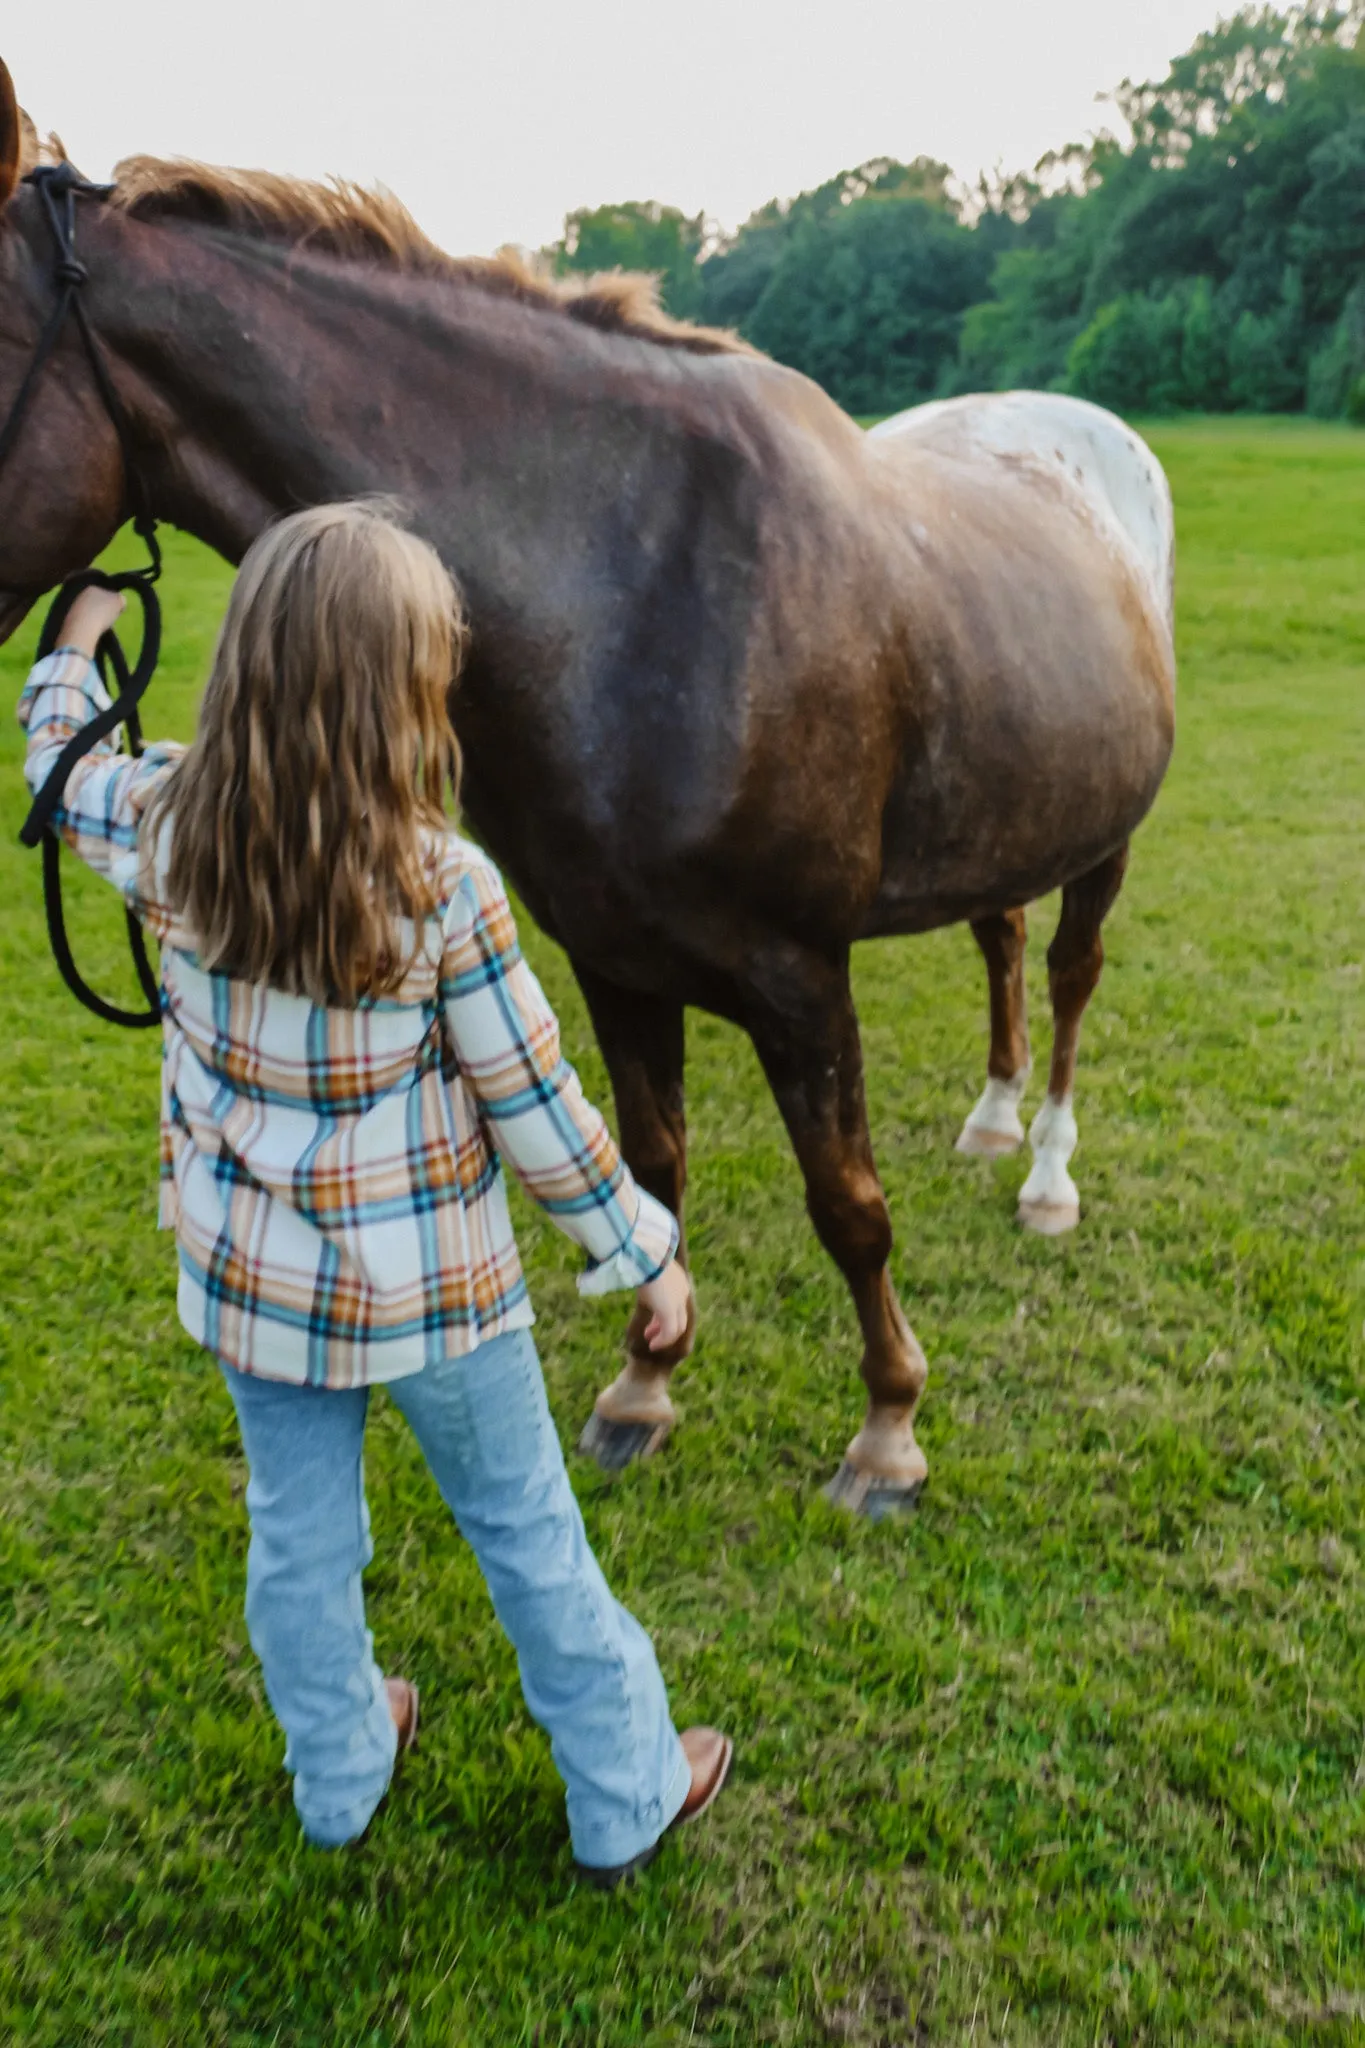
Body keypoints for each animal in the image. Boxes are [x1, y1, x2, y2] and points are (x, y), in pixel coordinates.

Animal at [0, 64, 1178, 1515]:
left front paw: (889, 1429)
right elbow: (651, 1174)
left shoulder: (799, 972)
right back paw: (995, 1120)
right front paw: (644, 1386)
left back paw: (1048, 1172)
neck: (627, 579)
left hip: (1104, 836)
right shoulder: (613, 956)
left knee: (1067, 977)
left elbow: (848, 1205)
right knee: (1003, 941)